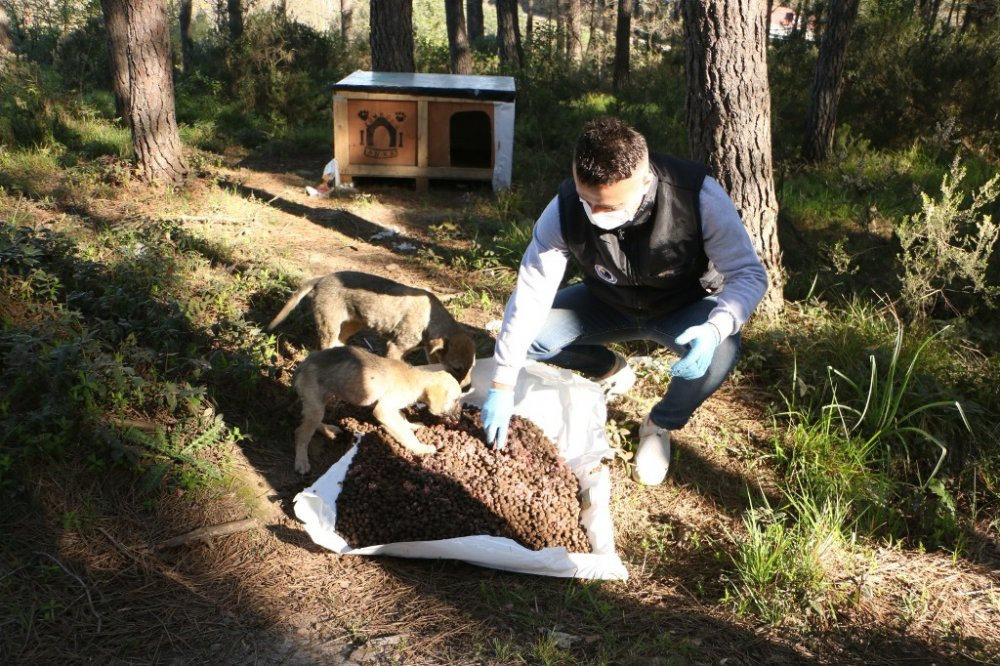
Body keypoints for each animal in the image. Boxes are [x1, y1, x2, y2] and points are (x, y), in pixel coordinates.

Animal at [270, 268, 476, 384]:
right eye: (457, 368)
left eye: (472, 367)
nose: (467, 389)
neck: (429, 320)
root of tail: (321, 279)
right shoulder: (395, 348)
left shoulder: (428, 351)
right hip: (330, 326)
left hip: (352, 324)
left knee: (339, 343)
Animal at [290, 342, 460, 472]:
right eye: (456, 399)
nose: (459, 418)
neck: (416, 379)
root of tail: (303, 364)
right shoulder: (384, 410)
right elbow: (404, 434)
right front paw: (420, 448)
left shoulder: (393, 409)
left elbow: (402, 421)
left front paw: (413, 425)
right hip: (316, 406)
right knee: (300, 433)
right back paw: (301, 461)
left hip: (322, 399)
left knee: (305, 424)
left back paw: (329, 429)